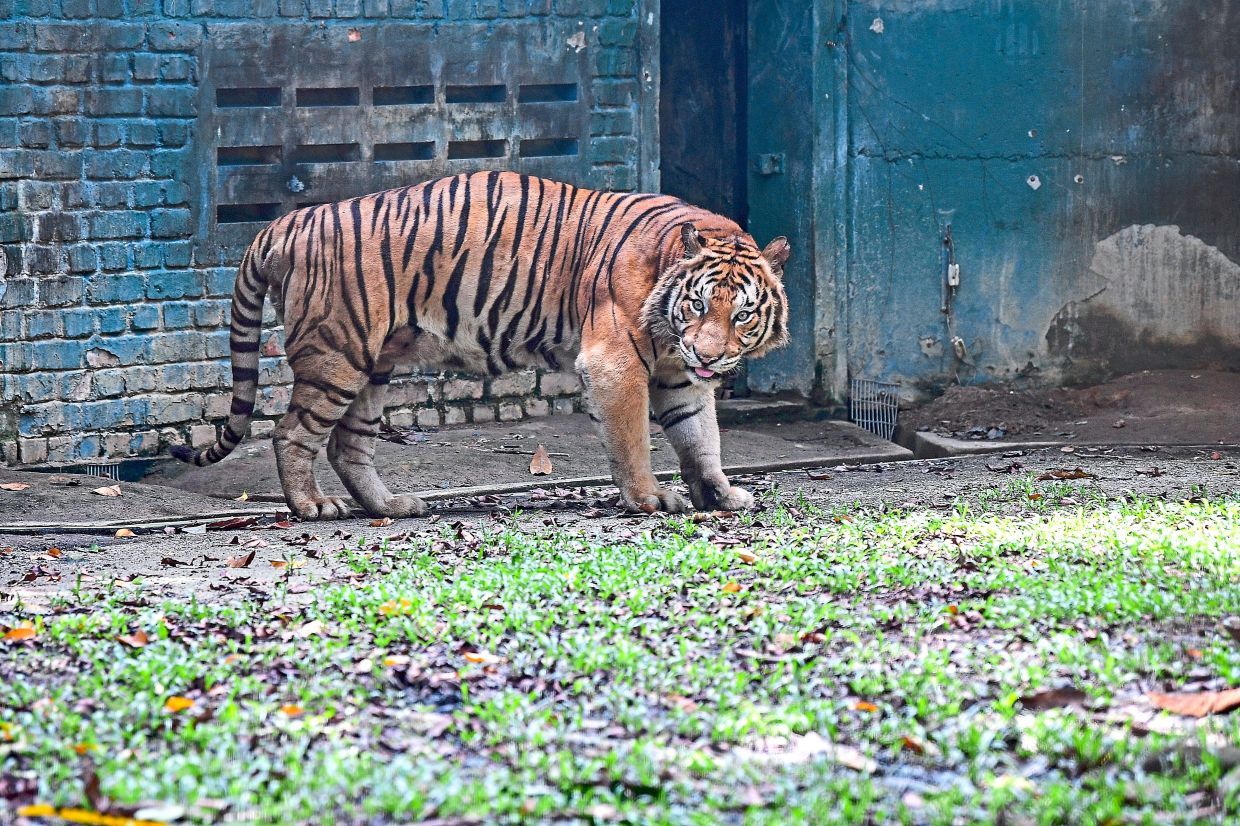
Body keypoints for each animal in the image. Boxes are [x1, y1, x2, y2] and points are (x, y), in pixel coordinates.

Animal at [173, 172, 791, 520]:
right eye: (697, 305)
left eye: (742, 314)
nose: (708, 356)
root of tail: (287, 222)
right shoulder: (614, 363)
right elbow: (636, 441)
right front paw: (650, 500)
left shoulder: (680, 377)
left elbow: (701, 440)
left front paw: (722, 495)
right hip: (336, 358)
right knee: (292, 433)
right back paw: (312, 507)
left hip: (371, 366)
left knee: (348, 444)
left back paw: (390, 507)